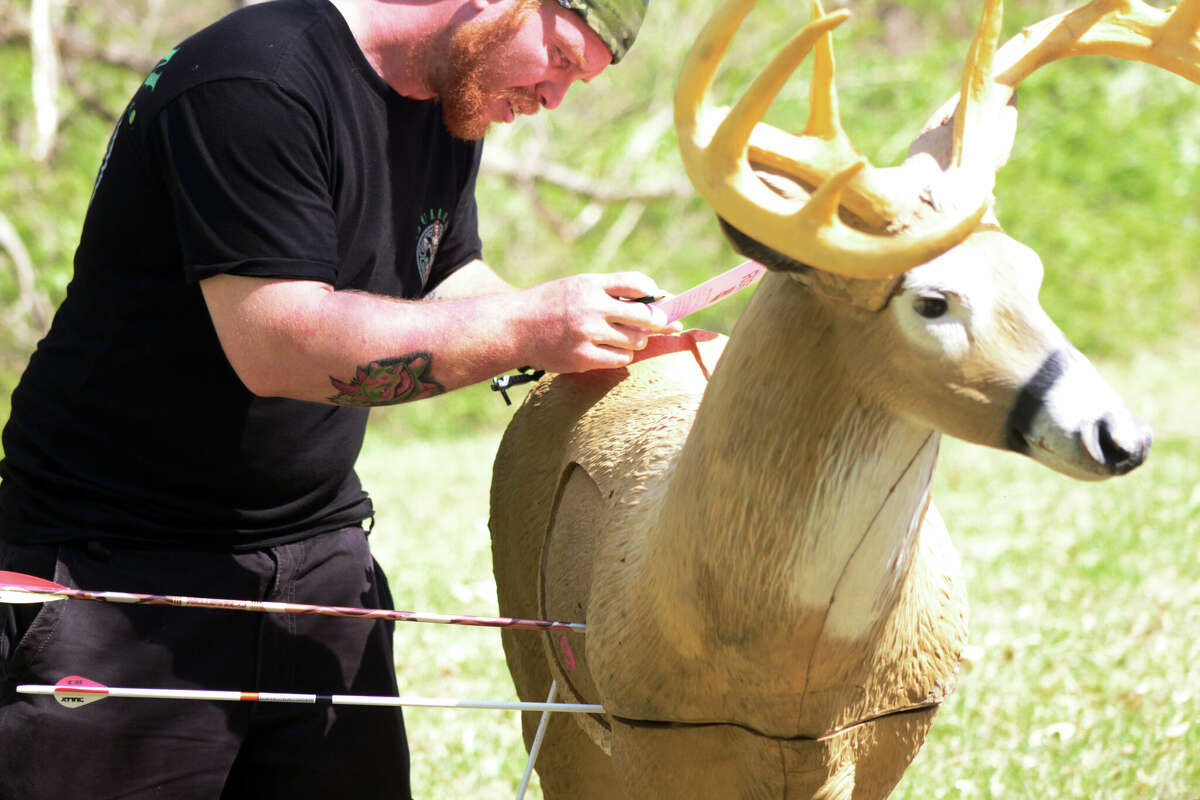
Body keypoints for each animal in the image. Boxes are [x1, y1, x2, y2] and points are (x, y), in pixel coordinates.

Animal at [489, 0, 1196, 797]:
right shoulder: (651, 736)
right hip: (539, 675)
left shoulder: (891, 736)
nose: (1122, 437)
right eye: (931, 301)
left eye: (1031, 270)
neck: (796, 674)